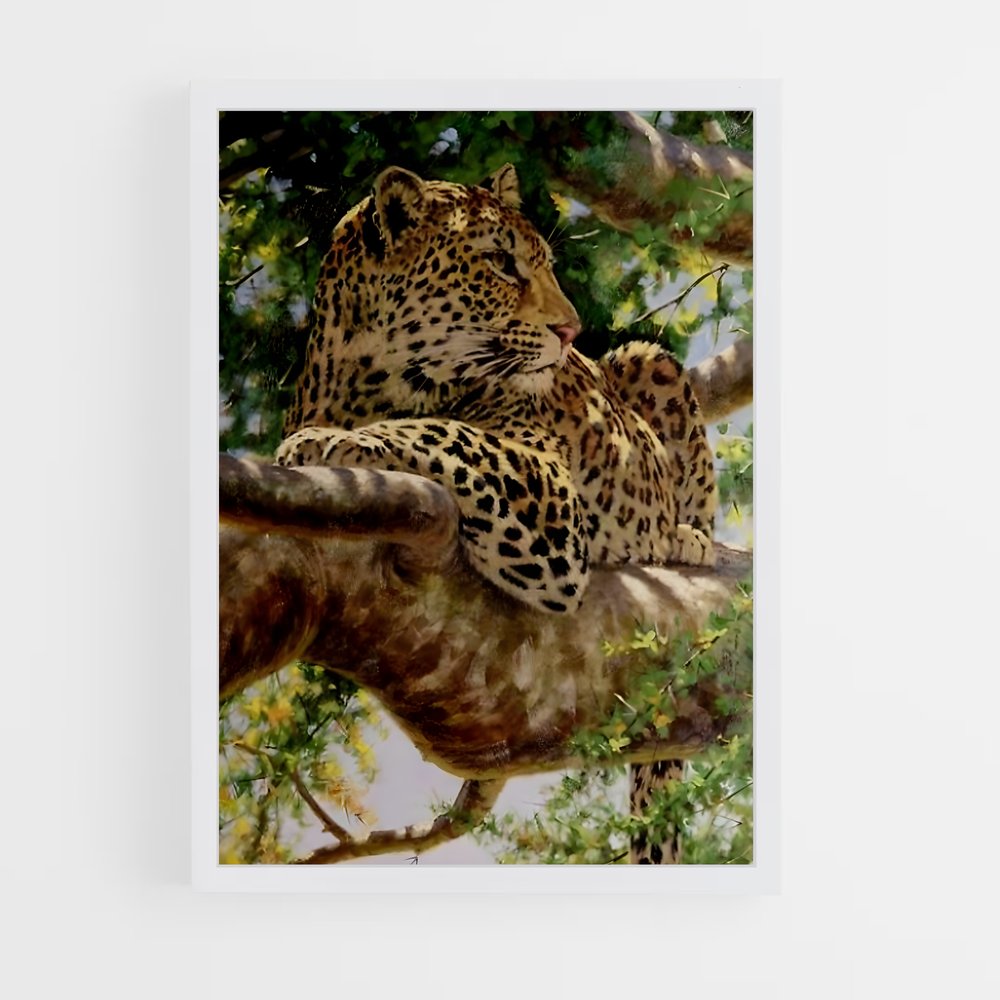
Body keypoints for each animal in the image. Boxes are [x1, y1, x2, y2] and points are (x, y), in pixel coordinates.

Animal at [275, 164, 717, 864]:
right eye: (500, 263)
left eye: (543, 264)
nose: (571, 334)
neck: (371, 378)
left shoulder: (545, 489)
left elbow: (442, 431)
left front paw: (330, 441)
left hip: (649, 360)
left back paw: (683, 538)